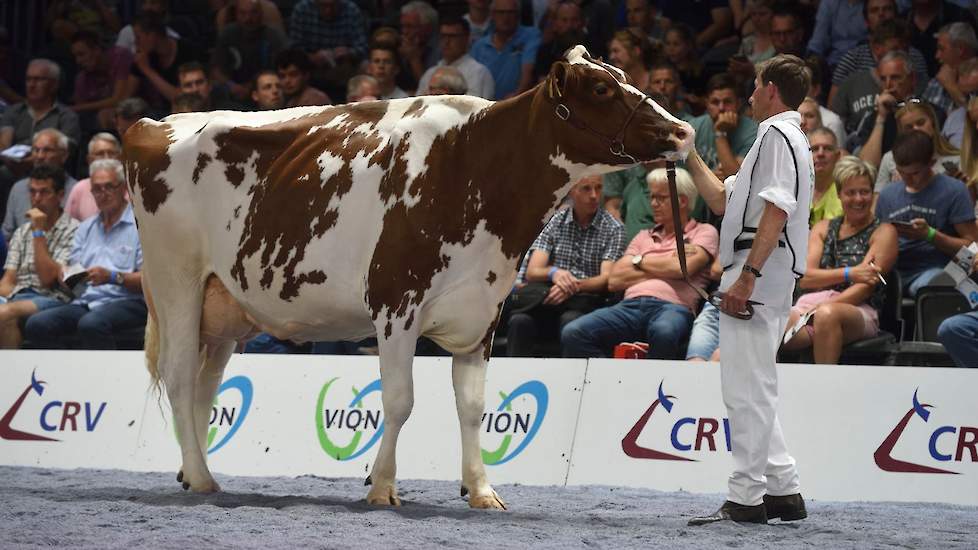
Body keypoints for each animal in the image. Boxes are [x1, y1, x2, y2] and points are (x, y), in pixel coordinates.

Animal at [124, 46, 692, 508]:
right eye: (601, 88)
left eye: (622, 74)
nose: (683, 131)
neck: (473, 166)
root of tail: (150, 123)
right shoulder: (396, 302)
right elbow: (399, 401)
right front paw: (381, 486)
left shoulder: (483, 310)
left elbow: (473, 407)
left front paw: (480, 490)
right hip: (176, 278)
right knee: (179, 374)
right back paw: (200, 477)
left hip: (222, 303)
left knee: (205, 385)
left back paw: (194, 471)